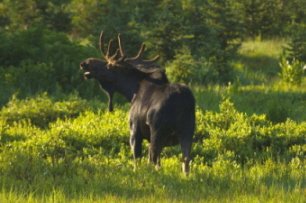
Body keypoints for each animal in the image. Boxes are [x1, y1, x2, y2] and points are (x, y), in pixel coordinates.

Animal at [80, 31, 195, 174]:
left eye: (109, 65)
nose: (85, 62)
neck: (131, 92)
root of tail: (183, 101)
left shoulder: (134, 130)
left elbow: (137, 161)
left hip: (158, 131)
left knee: (155, 159)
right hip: (187, 131)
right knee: (185, 161)